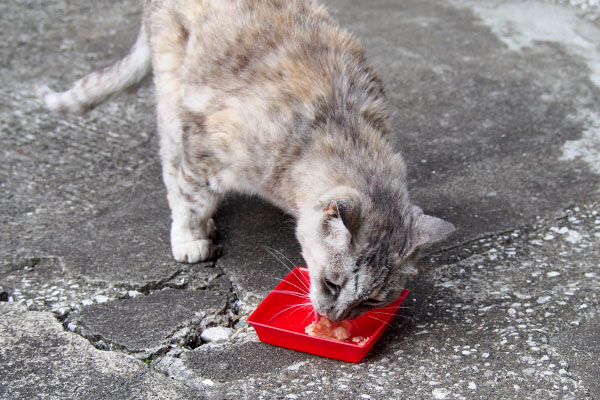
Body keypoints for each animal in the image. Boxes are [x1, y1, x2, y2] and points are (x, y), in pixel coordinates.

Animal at [42, 0, 454, 324]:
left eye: (370, 302)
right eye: (332, 283)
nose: (334, 319)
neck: (336, 123)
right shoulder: (205, 147)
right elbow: (190, 196)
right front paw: (190, 237)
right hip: (172, 85)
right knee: (171, 159)